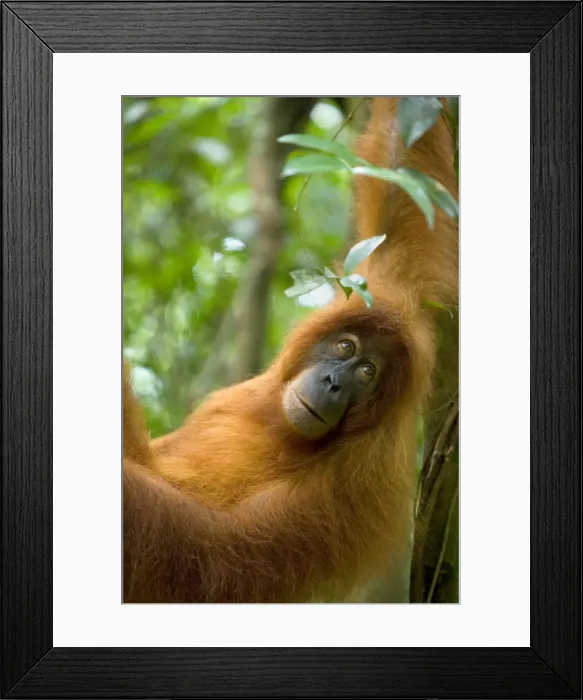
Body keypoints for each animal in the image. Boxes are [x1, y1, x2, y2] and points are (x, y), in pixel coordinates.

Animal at [123, 96, 458, 603]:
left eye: (368, 373)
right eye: (345, 347)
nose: (334, 382)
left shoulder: (353, 482)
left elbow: (214, 560)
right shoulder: (385, 288)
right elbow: (406, 192)